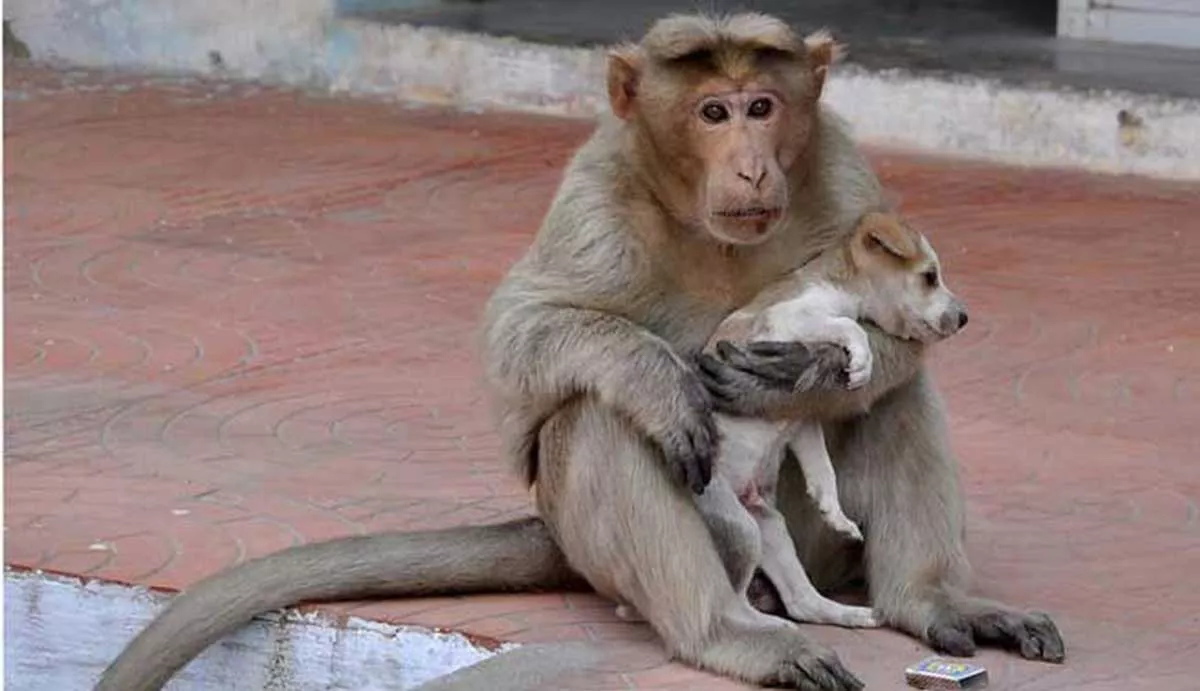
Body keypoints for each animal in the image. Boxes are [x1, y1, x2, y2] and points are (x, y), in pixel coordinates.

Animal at [691, 211, 969, 623]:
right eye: (929, 277)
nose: (965, 318)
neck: (840, 287)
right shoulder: (786, 318)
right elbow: (848, 326)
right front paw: (861, 362)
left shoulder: (801, 419)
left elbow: (822, 468)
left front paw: (833, 511)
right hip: (737, 527)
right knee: (734, 596)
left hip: (770, 527)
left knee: (802, 602)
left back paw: (856, 616)